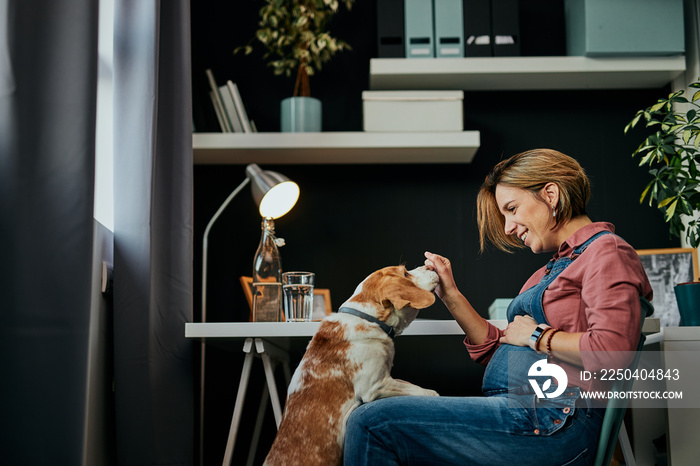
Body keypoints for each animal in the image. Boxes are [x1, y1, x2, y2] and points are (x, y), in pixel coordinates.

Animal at [266, 266, 440, 466]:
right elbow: (421, 390)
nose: (430, 266)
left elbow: (409, 384)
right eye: (405, 274)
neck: (368, 319)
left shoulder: (387, 377)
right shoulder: (375, 385)